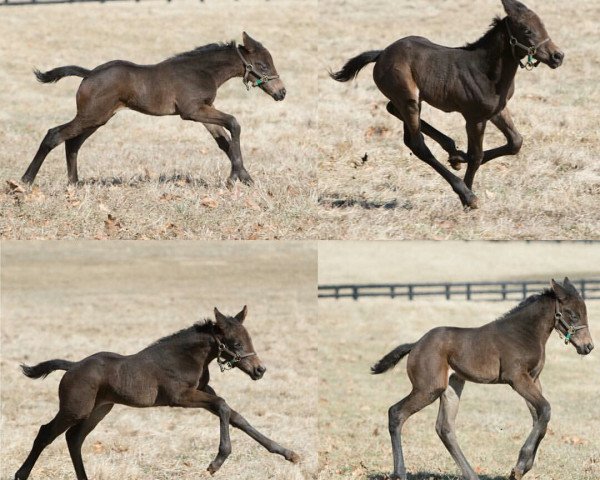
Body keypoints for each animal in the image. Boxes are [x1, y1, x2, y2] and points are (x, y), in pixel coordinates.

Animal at [12, 308, 298, 480]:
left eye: (249, 340)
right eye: (236, 343)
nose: (260, 370)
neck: (187, 357)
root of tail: (72, 366)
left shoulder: (201, 392)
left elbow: (236, 417)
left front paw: (288, 453)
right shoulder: (180, 397)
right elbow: (224, 405)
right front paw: (217, 461)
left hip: (99, 409)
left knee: (74, 438)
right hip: (75, 408)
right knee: (46, 433)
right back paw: (20, 474)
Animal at [22, 32, 284, 187]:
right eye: (262, 65)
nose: (281, 93)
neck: (201, 71)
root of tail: (90, 73)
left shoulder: (204, 110)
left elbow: (224, 142)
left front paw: (246, 178)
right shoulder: (192, 111)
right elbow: (234, 123)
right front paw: (234, 177)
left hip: (97, 118)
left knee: (72, 142)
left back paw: (74, 183)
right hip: (91, 115)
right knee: (54, 134)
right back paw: (26, 180)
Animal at [332, 1, 564, 208]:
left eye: (543, 25)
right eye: (526, 30)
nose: (558, 56)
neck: (486, 71)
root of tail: (381, 54)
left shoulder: (496, 110)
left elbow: (515, 142)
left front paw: (459, 158)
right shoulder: (474, 117)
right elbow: (477, 155)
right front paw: (469, 195)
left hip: (412, 98)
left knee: (396, 116)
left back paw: (453, 150)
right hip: (408, 98)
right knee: (417, 144)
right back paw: (464, 191)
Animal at [372, 278, 592, 480]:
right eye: (573, 314)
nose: (588, 346)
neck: (524, 333)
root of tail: (416, 344)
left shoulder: (534, 379)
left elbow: (540, 418)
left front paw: (521, 469)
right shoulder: (516, 378)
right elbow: (545, 409)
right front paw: (519, 466)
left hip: (452, 387)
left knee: (444, 428)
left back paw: (471, 475)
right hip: (429, 388)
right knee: (396, 413)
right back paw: (400, 473)